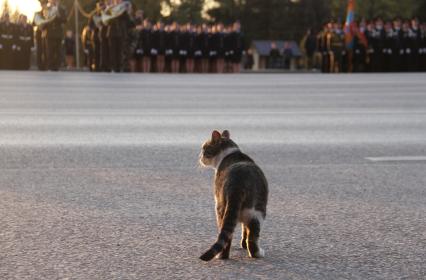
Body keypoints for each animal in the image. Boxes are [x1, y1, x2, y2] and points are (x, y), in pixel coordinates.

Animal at [199, 130, 266, 262]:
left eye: (205, 149)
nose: (200, 157)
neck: (231, 154)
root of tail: (238, 183)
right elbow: (245, 229)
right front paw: (243, 244)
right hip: (255, 211)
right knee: (250, 236)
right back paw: (254, 253)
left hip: (221, 207)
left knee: (227, 235)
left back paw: (222, 256)